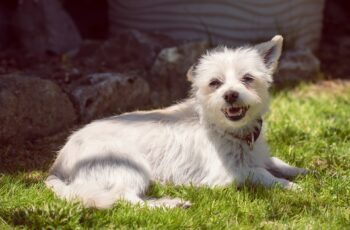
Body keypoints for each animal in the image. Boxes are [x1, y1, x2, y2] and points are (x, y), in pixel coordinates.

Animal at [45, 35, 308, 208]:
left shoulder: (259, 156)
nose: (230, 95)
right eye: (215, 83)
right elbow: (262, 173)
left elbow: (277, 162)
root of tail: (58, 165)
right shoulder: (226, 175)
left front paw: (305, 171)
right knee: (125, 198)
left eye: (247, 78)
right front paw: (291, 186)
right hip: (129, 165)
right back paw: (169, 204)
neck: (229, 131)